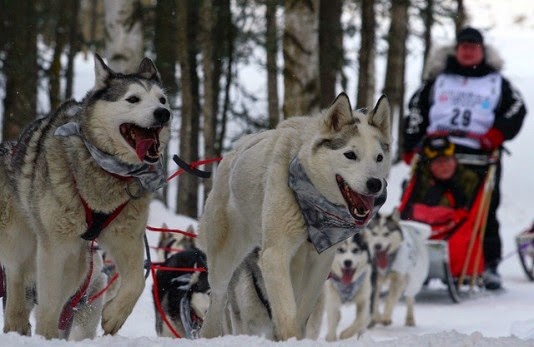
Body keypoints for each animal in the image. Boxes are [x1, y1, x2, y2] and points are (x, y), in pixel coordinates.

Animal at [0, 54, 172, 340]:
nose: (163, 113)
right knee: (16, 277)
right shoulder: (54, 246)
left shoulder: (126, 238)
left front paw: (114, 316)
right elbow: (48, 302)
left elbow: (136, 281)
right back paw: (17, 324)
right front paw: (46, 338)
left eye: (162, 99)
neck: (106, 171)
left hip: (79, 262)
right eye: (133, 99)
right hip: (22, 240)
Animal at [199, 94, 392, 342]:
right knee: (217, 299)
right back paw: (209, 334)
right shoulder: (275, 254)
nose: (375, 184)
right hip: (225, 260)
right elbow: (286, 311)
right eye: (350, 154)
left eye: (379, 157)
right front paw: (289, 337)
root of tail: (235, 150)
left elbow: (300, 312)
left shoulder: (321, 262)